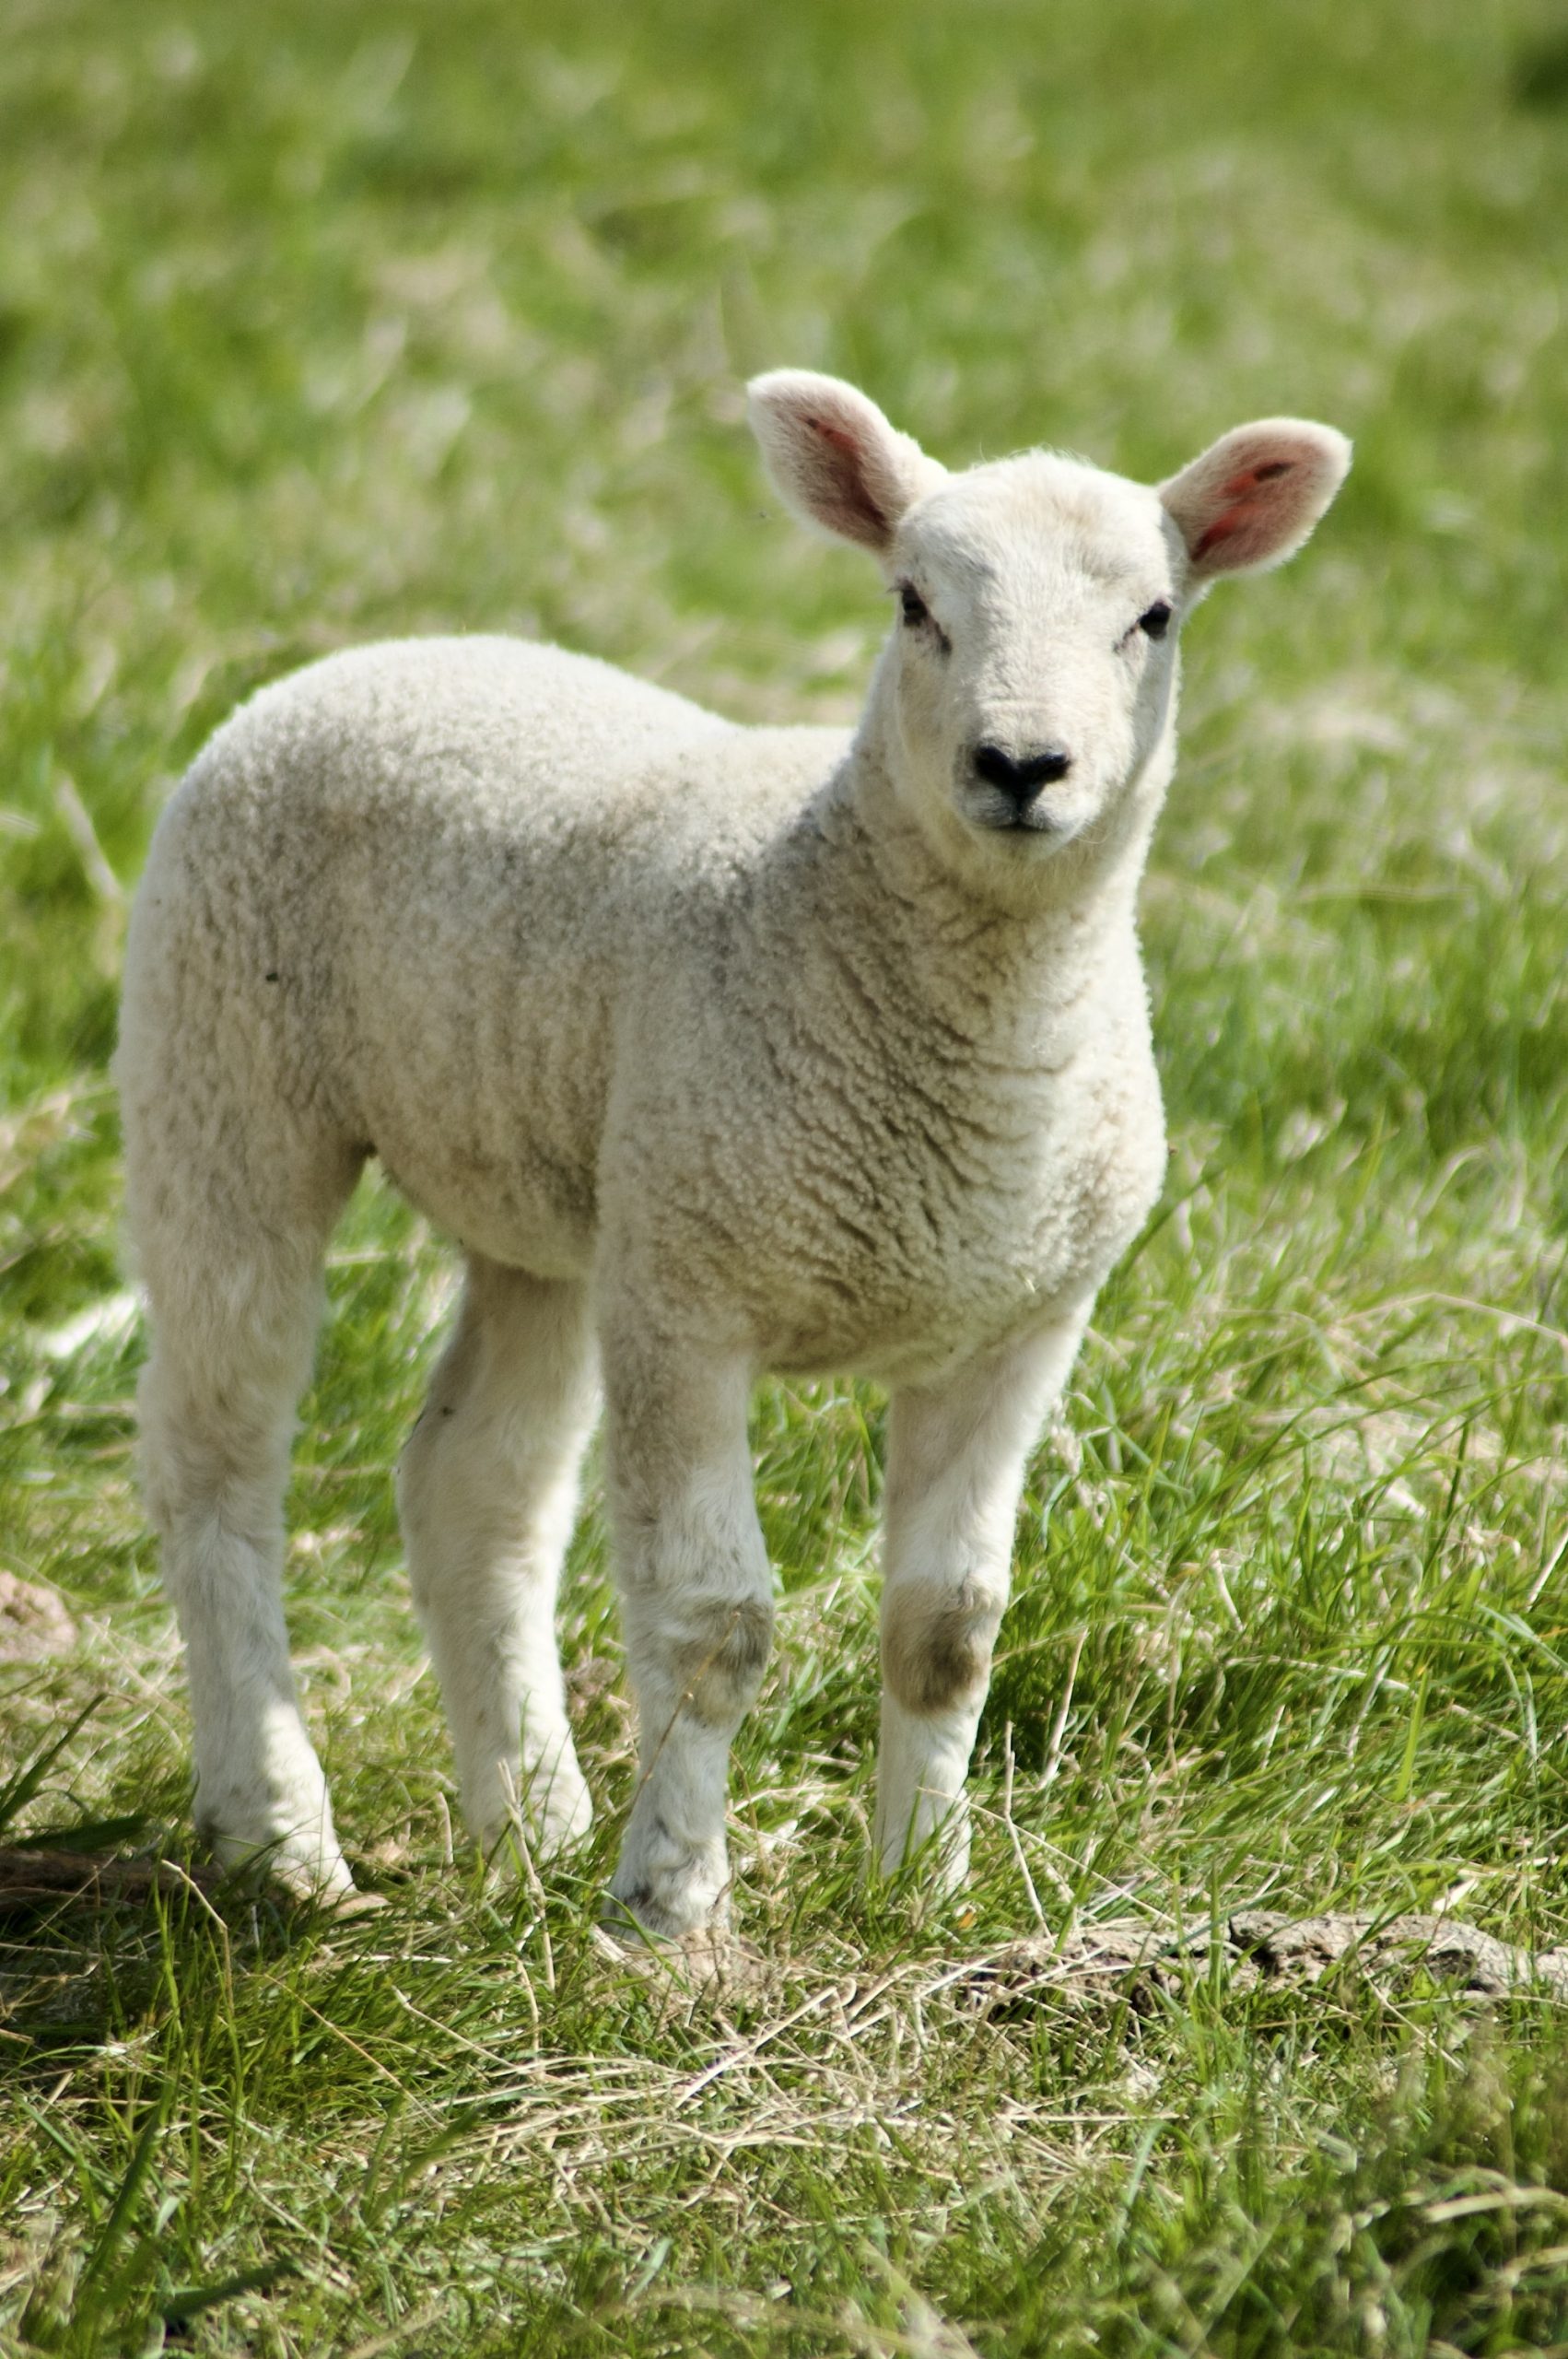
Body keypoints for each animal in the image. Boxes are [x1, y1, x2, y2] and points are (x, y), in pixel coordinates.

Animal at [115, 371, 1350, 1934]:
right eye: (911, 605)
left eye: (1154, 616)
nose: (1019, 767)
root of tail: (386, 651)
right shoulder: (692, 1302)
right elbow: (712, 1625)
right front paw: (672, 1909)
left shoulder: (1017, 1318)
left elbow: (947, 1628)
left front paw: (919, 1891)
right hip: (222, 1076)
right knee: (214, 1457)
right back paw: (277, 1832)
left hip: (568, 1197)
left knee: (475, 1482)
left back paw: (531, 1825)